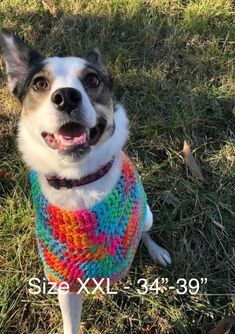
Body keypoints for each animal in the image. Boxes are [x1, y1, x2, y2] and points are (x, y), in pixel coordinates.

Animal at [0, 29, 172, 334]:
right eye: (40, 83)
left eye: (92, 80)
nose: (66, 97)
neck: (79, 180)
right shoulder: (65, 281)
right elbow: (71, 323)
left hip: (147, 213)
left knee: (144, 231)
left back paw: (156, 251)